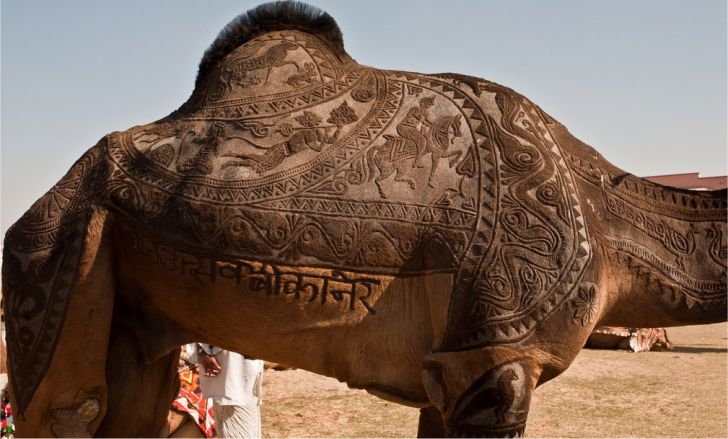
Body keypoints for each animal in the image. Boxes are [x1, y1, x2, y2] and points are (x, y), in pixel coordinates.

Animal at [2, 2, 724, 436]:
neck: (603, 215)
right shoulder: (499, 355)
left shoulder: (451, 366)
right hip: (53, 250)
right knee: (69, 403)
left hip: (126, 303)